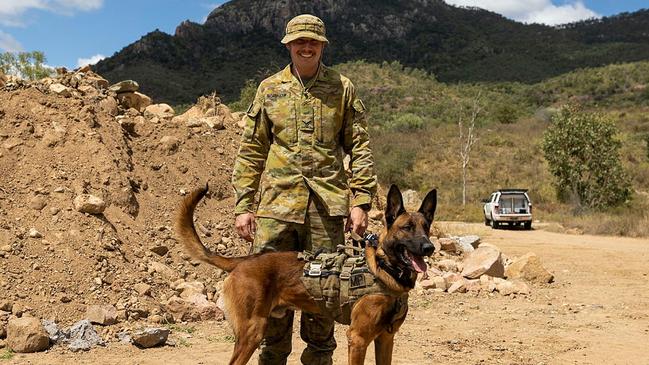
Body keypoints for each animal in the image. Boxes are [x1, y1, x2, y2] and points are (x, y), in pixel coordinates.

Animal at [175, 185, 436, 364]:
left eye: (426, 227)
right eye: (407, 228)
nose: (429, 248)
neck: (385, 270)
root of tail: (244, 261)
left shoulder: (385, 339)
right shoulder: (358, 338)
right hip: (252, 332)